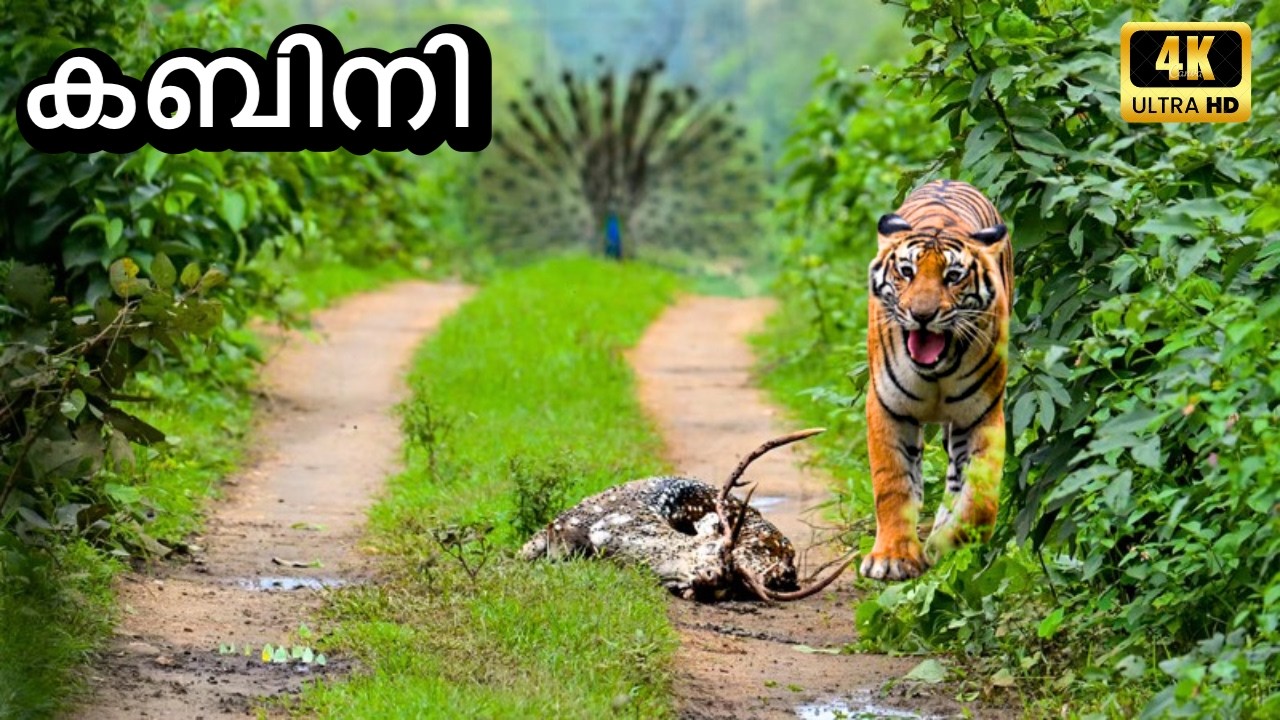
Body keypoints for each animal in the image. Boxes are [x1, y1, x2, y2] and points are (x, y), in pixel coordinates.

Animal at [860, 179, 1012, 581]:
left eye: (953, 277)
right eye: (906, 271)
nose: (922, 314)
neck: (936, 370)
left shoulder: (982, 414)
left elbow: (981, 500)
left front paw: (944, 544)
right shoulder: (887, 407)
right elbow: (892, 484)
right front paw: (893, 557)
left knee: (956, 477)